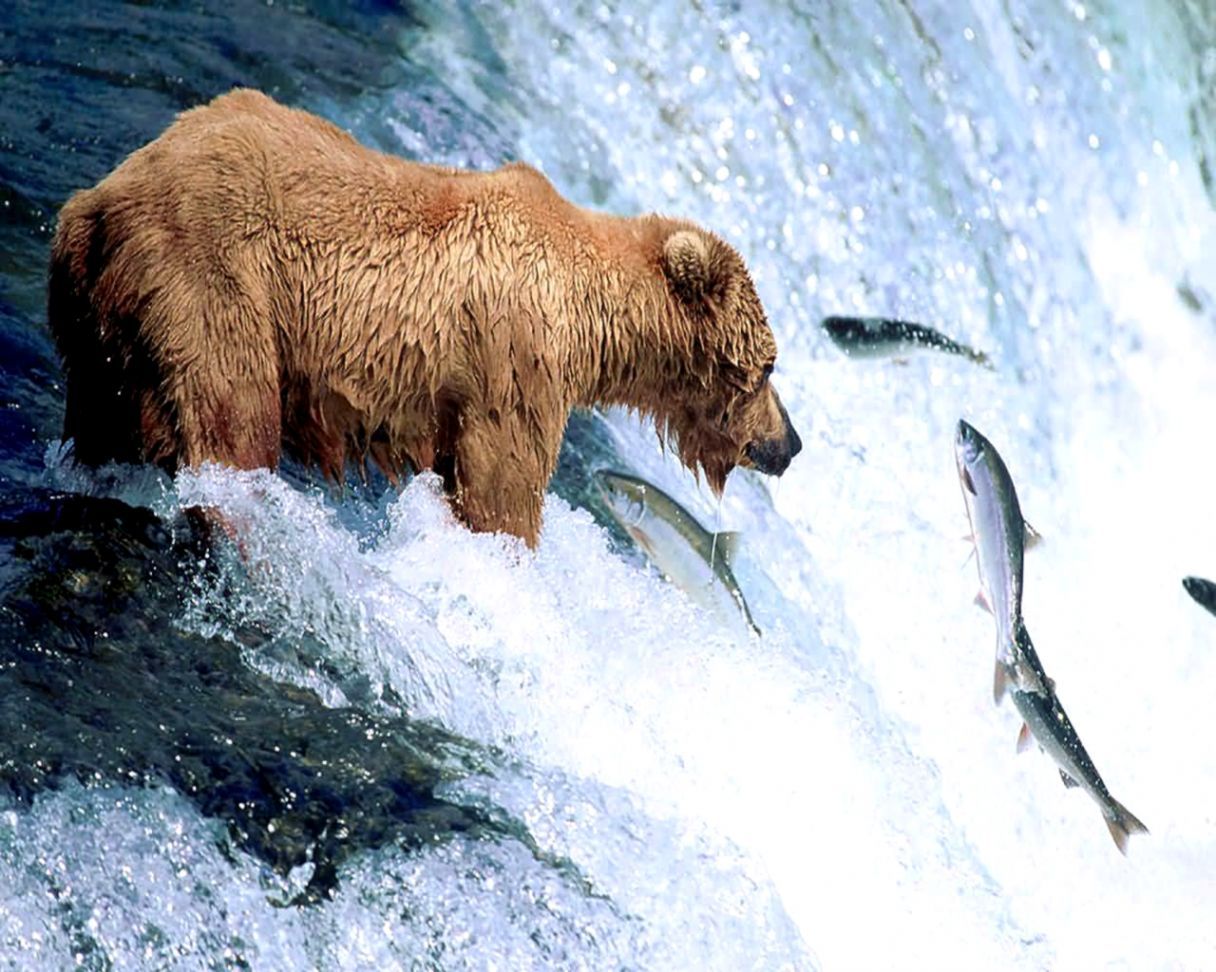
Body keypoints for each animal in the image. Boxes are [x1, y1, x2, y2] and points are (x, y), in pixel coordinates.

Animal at [48, 88, 801, 547]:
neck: (593, 320)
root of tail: (98, 200)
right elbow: (501, 493)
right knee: (233, 422)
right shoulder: (515, 362)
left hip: (99, 325)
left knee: (104, 419)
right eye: (767, 366)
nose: (788, 443)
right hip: (214, 278)